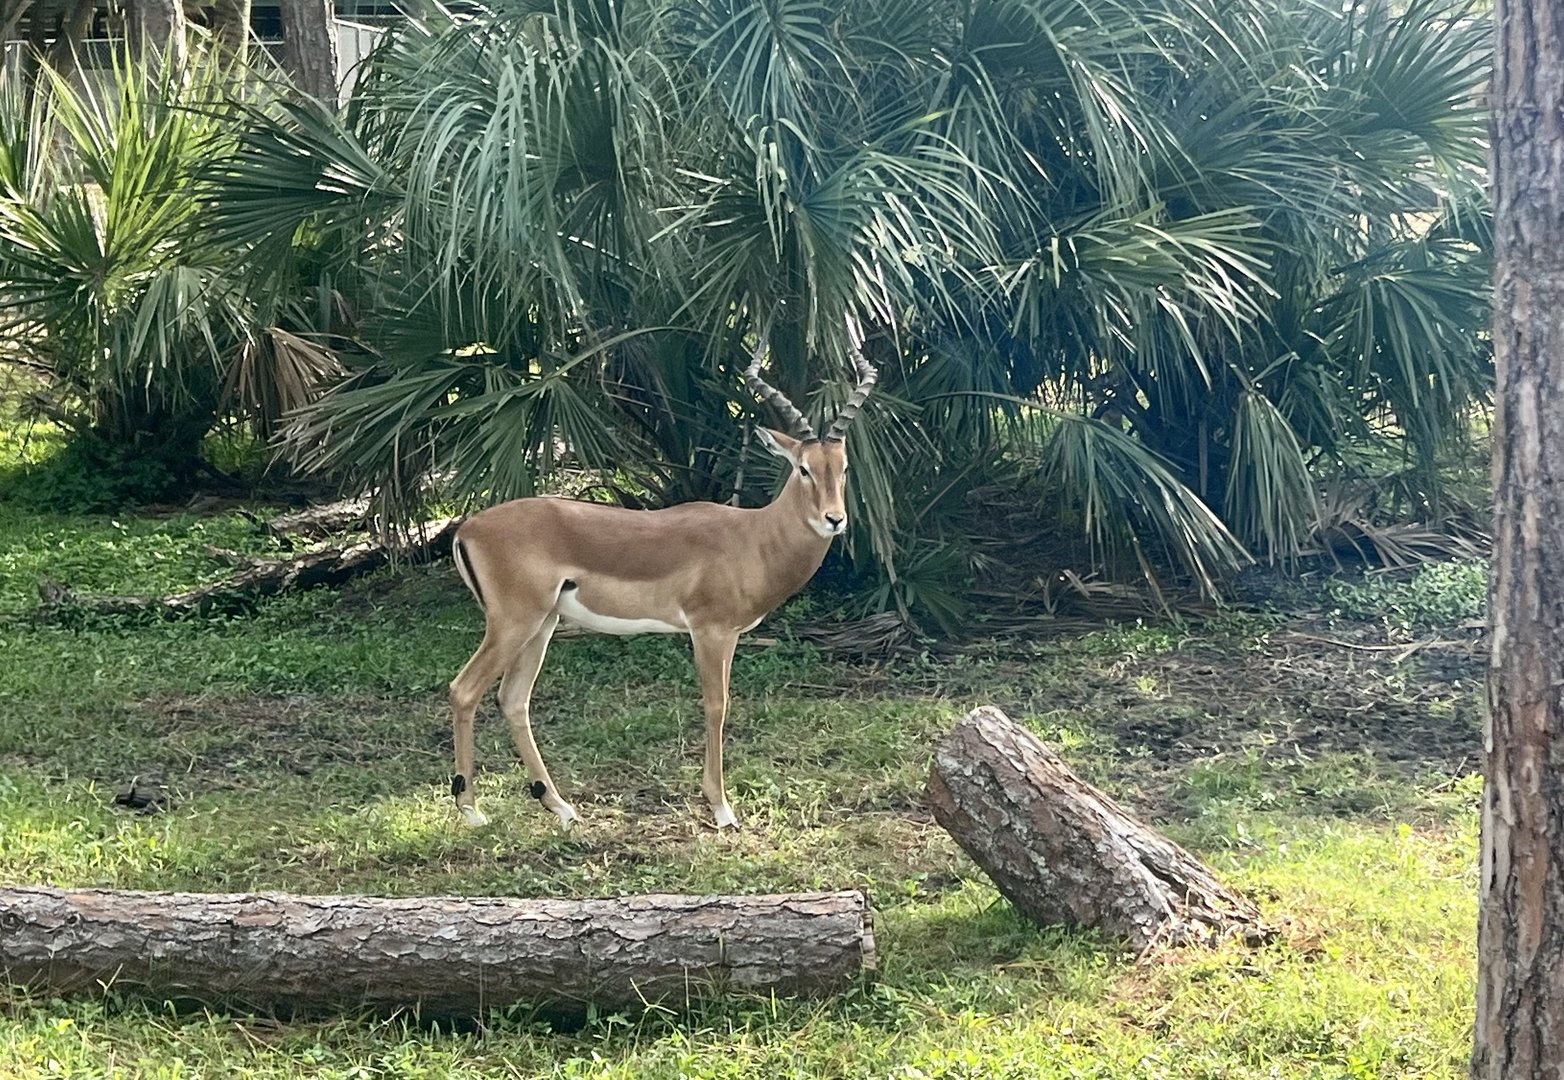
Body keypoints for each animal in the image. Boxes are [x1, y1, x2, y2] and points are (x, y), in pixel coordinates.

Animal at [446, 324, 877, 829]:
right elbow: (716, 705)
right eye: (804, 469)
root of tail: (468, 528)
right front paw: (722, 808)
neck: (751, 537)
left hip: (542, 626)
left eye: (843, 468)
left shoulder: (729, 634)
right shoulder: (710, 631)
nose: (835, 520)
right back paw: (472, 809)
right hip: (514, 624)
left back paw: (561, 806)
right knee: (464, 690)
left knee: (514, 699)